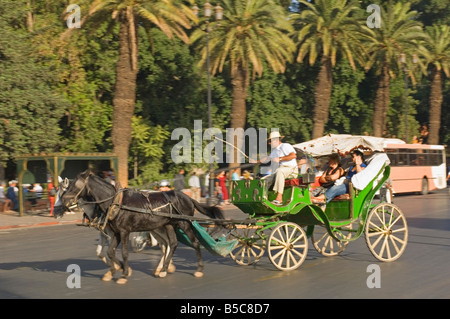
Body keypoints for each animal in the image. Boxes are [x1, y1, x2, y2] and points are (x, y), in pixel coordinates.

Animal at [53, 171, 227, 284]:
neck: (114, 202)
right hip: (168, 225)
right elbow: (108, 252)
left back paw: (198, 269)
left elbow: (122, 252)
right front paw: (119, 269)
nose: (56, 210)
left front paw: (123, 273)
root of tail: (188, 197)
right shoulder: (114, 232)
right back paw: (163, 269)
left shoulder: (123, 231)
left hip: (183, 223)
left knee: (194, 243)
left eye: (75, 186)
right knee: (171, 244)